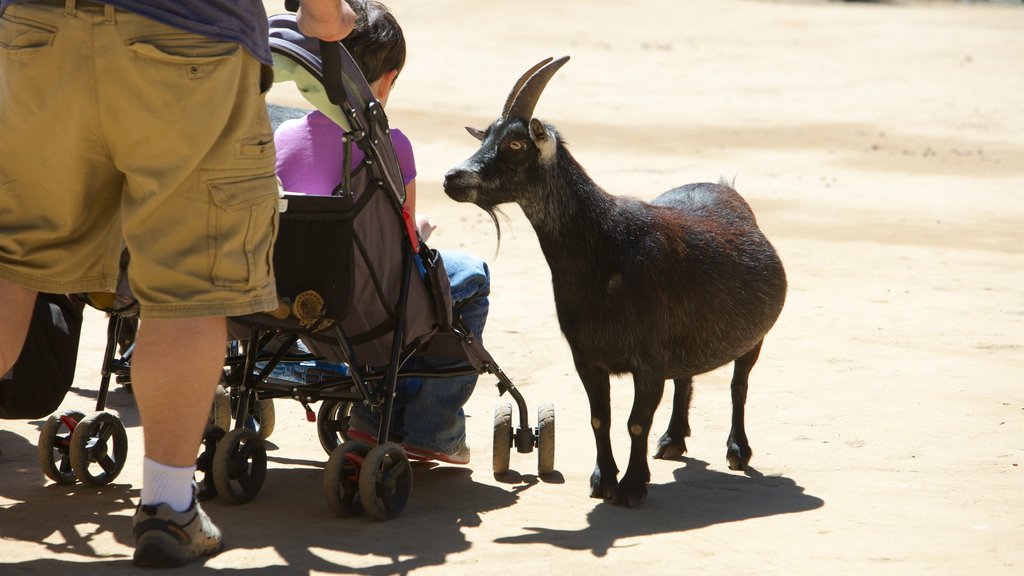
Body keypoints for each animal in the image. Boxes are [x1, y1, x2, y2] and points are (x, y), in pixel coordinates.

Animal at [444, 56, 786, 504]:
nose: (453, 178)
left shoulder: (649, 360)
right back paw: (673, 440)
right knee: (686, 377)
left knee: (738, 385)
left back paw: (737, 450)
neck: (607, 249)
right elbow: (599, 419)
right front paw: (602, 480)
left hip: (754, 337)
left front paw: (632, 486)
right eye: (485, 137)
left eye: (516, 144)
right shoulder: (588, 357)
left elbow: (635, 422)